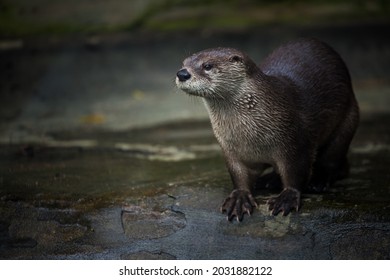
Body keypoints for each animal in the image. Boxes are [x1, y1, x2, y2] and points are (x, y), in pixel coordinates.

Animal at [175, 38, 358, 221]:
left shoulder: (296, 142)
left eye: (207, 65)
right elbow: (239, 175)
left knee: (332, 160)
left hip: (347, 122)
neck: (252, 136)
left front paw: (287, 197)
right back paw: (269, 180)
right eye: (183, 63)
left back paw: (318, 182)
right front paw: (239, 198)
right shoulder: (231, 150)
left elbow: (296, 172)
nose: (182, 74)